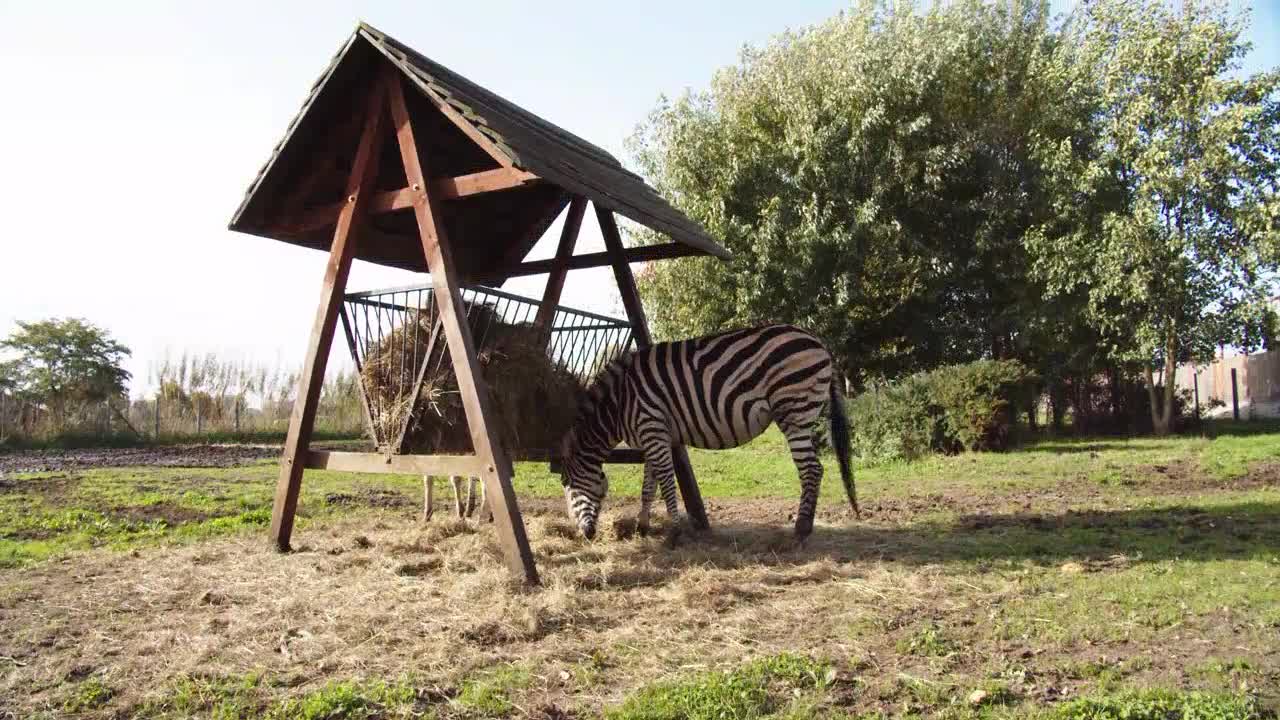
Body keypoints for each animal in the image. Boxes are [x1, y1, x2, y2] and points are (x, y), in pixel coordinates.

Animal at [558, 324, 849, 538]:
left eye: (568, 488)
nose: (586, 535)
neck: (620, 403)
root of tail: (819, 342)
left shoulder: (652, 428)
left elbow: (666, 482)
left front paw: (675, 533)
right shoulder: (651, 435)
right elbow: (649, 485)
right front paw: (643, 526)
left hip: (794, 411)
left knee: (812, 469)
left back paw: (801, 528)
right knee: (814, 468)